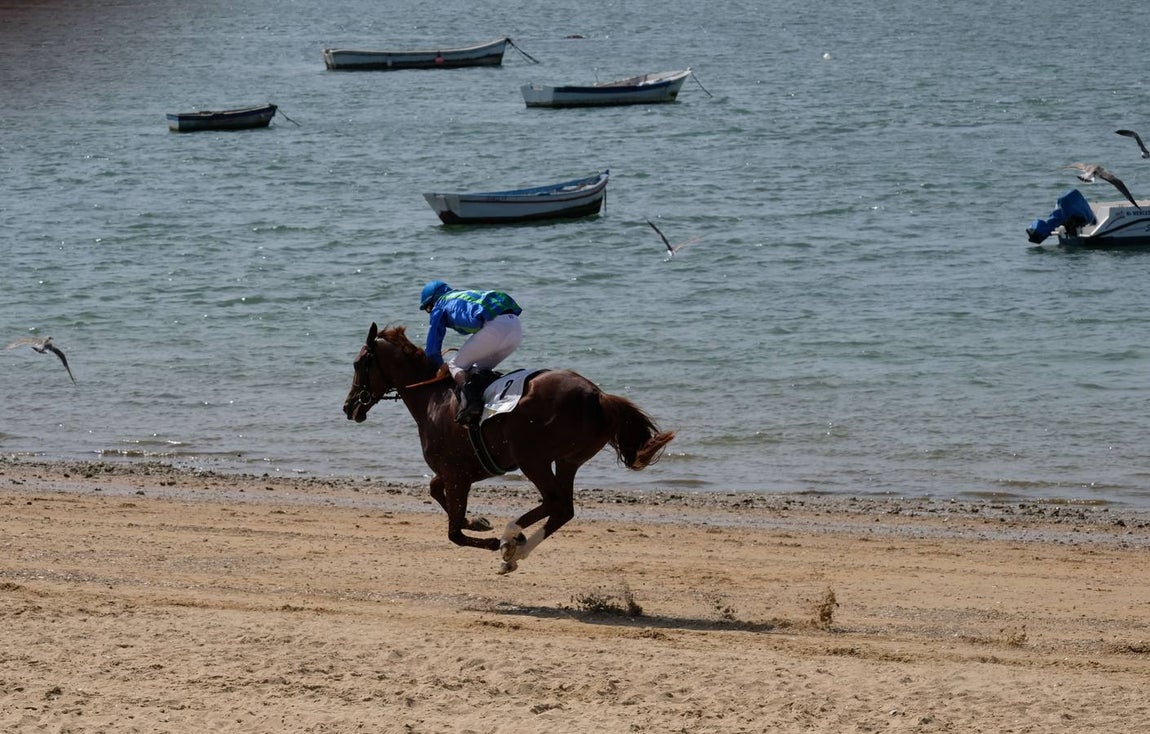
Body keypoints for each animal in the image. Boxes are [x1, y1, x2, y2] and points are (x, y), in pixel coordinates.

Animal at [343, 322, 675, 573]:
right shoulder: (460, 471)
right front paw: (477, 521)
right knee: (563, 509)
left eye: (358, 363)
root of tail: (599, 395)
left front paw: (488, 537)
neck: (433, 399)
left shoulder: (456, 474)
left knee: (555, 502)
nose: (348, 407)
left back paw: (509, 539)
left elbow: (454, 533)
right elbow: (436, 492)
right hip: (567, 460)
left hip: (533, 459)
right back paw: (514, 549)